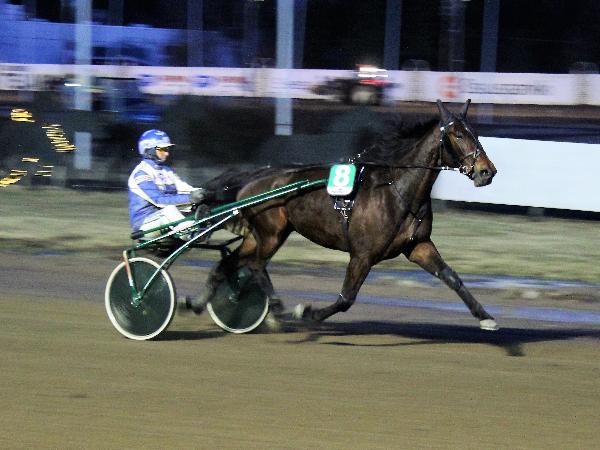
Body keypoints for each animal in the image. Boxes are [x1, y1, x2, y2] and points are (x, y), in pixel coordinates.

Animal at [204, 99, 499, 331]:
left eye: (476, 133)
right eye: (458, 135)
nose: (487, 171)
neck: (397, 189)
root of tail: (254, 178)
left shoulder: (418, 246)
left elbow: (451, 277)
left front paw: (486, 317)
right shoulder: (362, 254)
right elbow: (346, 298)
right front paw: (308, 313)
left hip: (260, 235)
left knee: (232, 263)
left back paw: (208, 299)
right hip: (271, 234)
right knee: (255, 266)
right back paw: (275, 310)